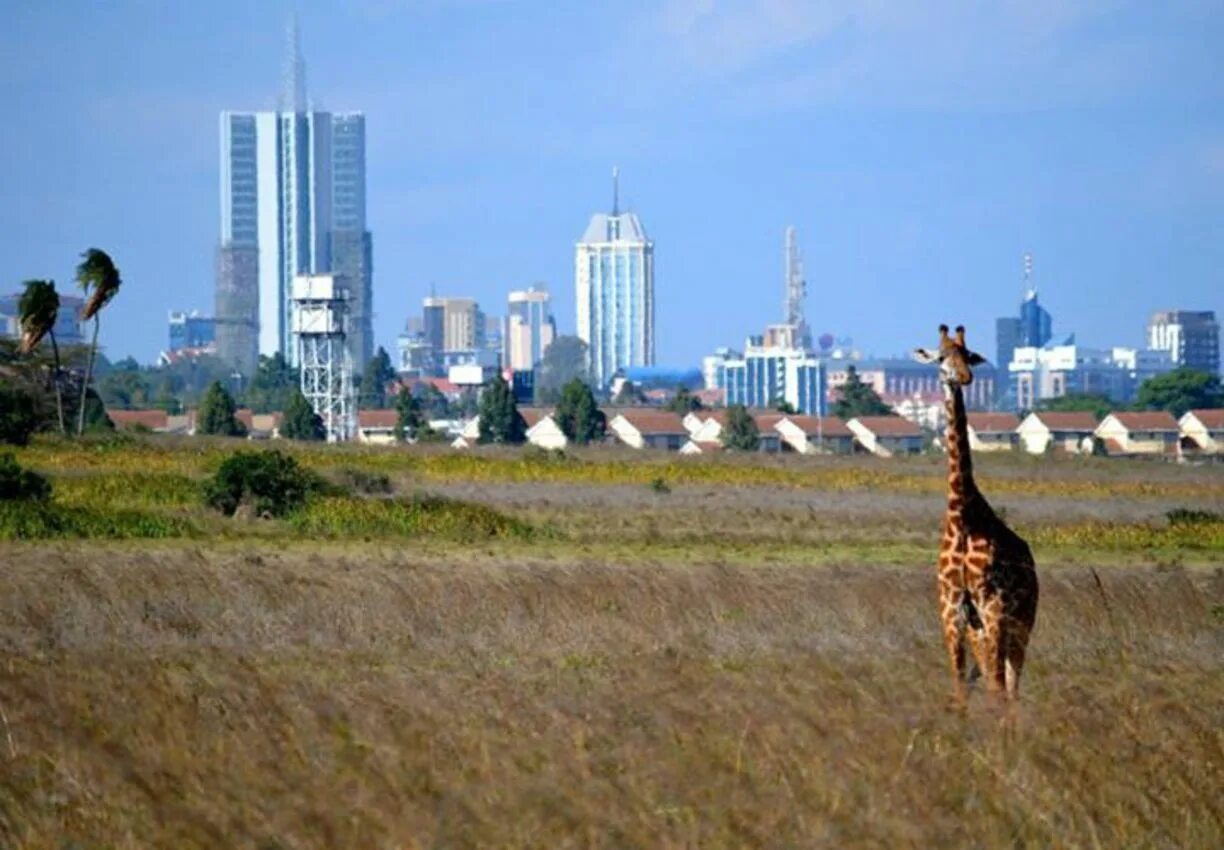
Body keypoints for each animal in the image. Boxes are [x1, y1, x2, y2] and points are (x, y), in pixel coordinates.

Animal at [915, 325, 1037, 705]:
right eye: (941, 357)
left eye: (968, 356)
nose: (965, 377)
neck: (962, 516)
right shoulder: (952, 611)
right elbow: (959, 687)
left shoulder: (992, 606)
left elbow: (997, 686)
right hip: (981, 628)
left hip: (1021, 622)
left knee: (1010, 685)